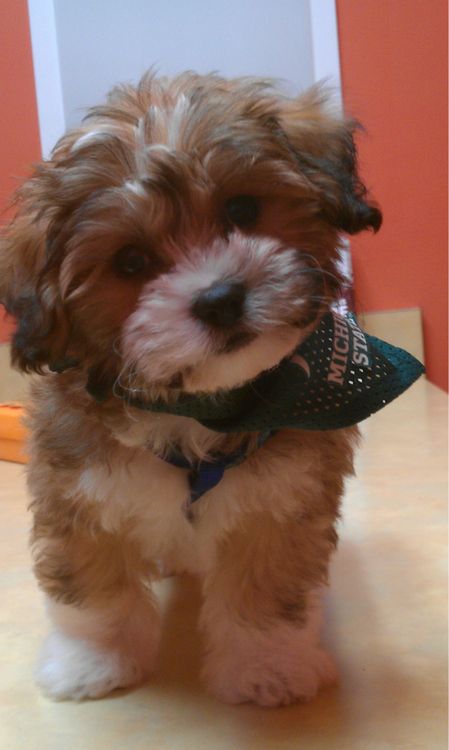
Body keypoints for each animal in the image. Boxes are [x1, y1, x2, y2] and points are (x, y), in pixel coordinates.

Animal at [0, 73, 380, 708]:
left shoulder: (281, 504)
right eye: (131, 261)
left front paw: (267, 668)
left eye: (242, 208)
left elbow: (265, 593)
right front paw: (93, 664)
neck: (197, 411)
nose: (220, 298)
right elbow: (95, 591)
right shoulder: (77, 496)